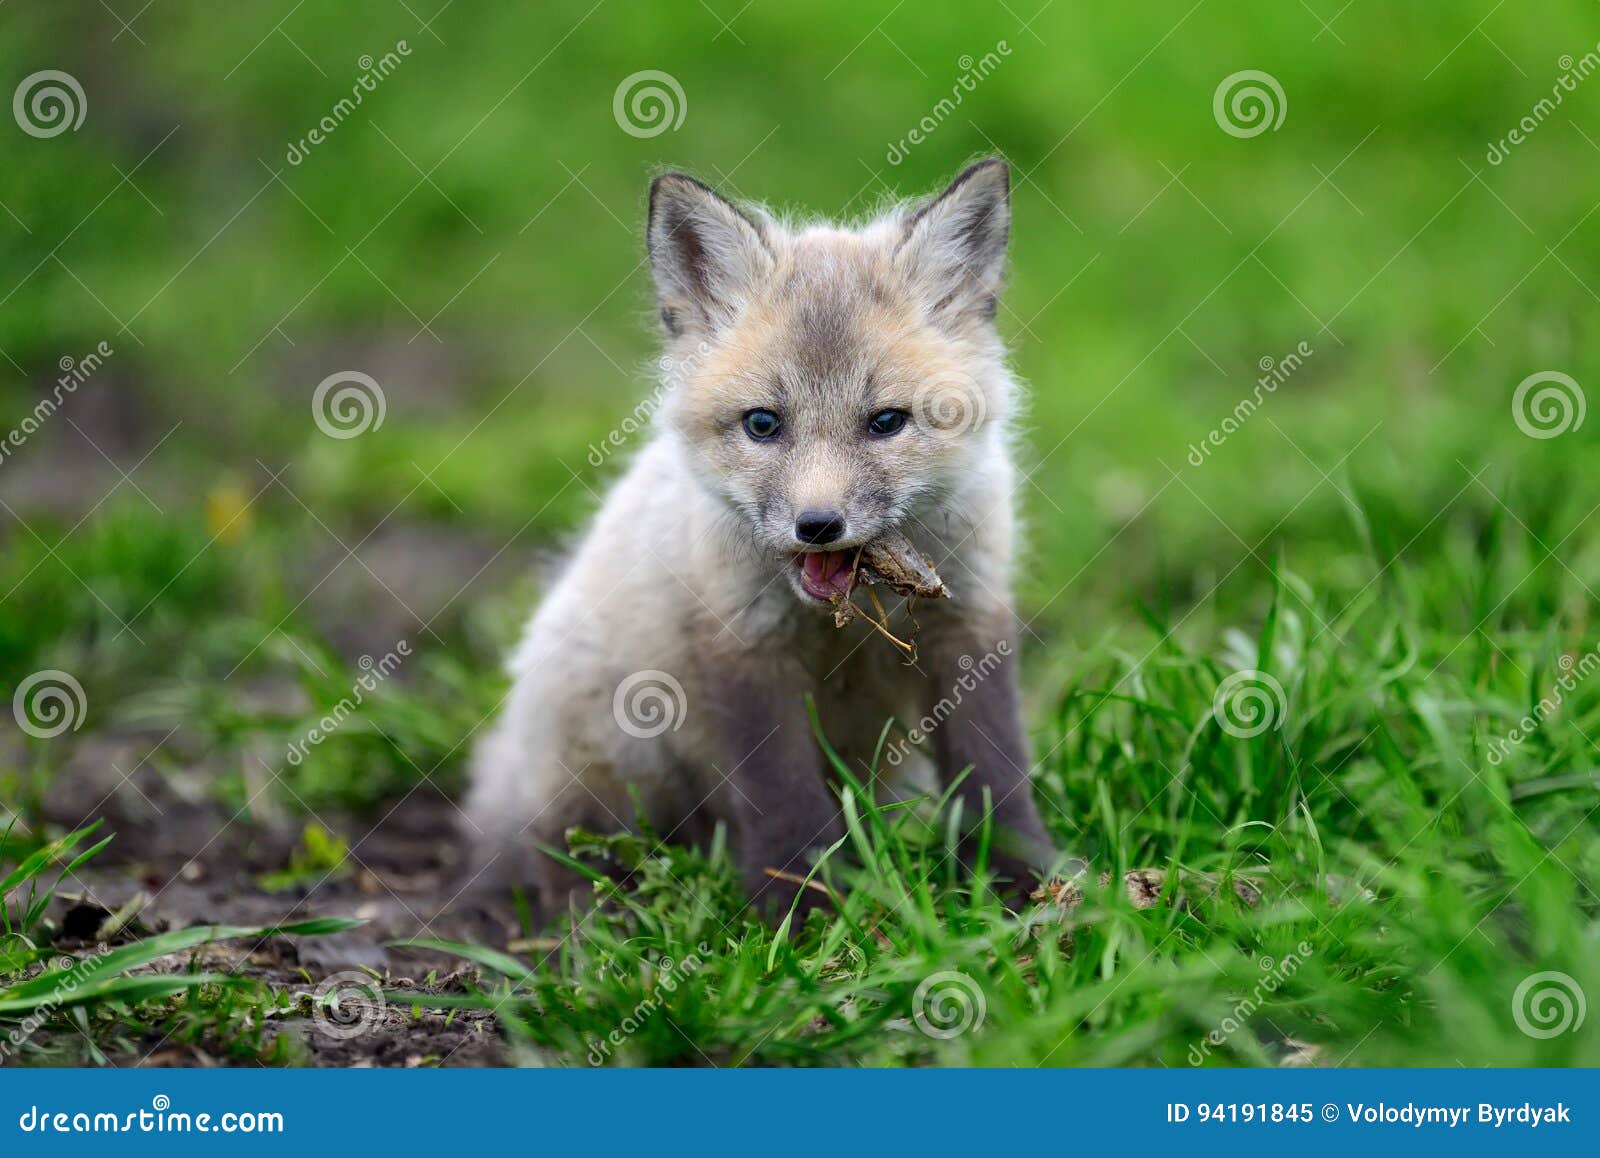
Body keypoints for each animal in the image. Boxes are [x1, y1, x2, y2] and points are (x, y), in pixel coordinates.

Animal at [464, 158, 1063, 921]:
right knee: (569, 853)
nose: (818, 525)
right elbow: (785, 803)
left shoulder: (968, 615)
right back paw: (595, 928)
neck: (847, 621)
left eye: (886, 422)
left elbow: (996, 773)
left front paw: (1023, 889)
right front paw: (803, 915)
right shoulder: (742, 642)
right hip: (615, 752)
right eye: (762, 424)